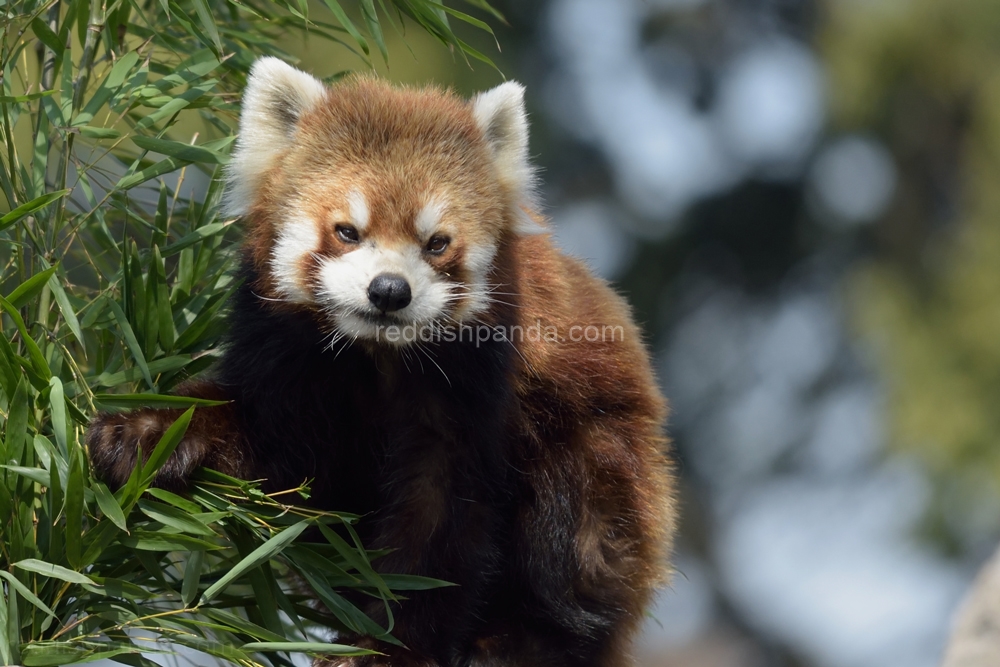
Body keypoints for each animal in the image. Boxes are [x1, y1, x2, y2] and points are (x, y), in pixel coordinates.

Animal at [88, 58, 680, 667]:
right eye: (348, 231)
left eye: (437, 243)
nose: (390, 290)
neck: (376, 354)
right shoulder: (285, 356)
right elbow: (264, 440)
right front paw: (148, 432)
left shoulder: (478, 383)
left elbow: (439, 523)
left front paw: (386, 646)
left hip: (606, 456)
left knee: (572, 540)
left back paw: (520, 643)